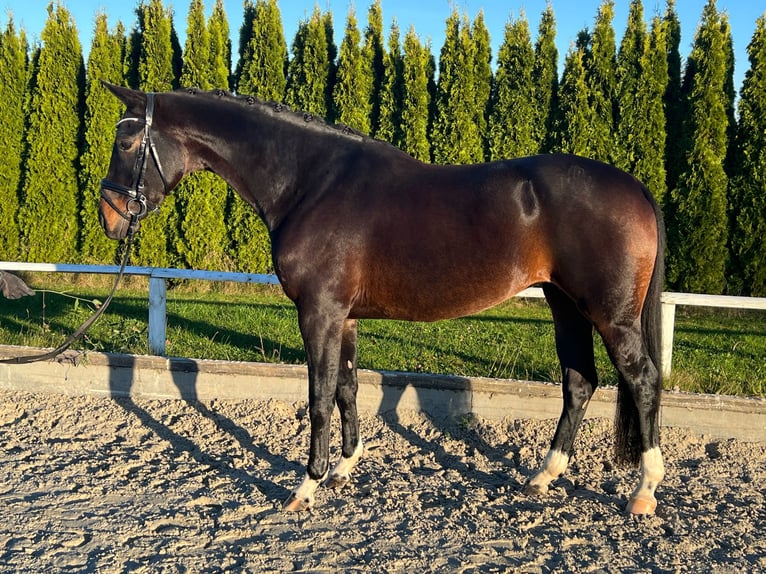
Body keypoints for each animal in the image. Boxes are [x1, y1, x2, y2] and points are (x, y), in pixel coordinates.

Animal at [99, 83, 666, 515]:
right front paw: (344, 468)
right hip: (564, 304)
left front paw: (305, 487)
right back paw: (543, 476)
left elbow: (319, 399)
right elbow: (347, 389)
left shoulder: (319, 314)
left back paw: (643, 492)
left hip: (610, 316)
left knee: (642, 380)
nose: (109, 219)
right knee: (579, 381)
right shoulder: (343, 317)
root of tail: (634, 186)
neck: (311, 183)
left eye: (125, 142)